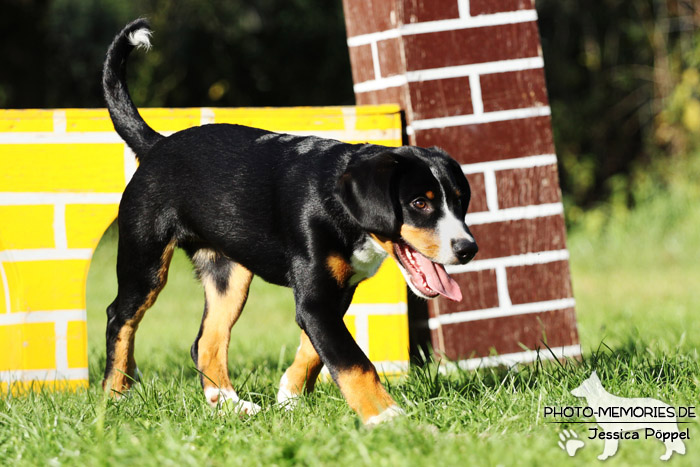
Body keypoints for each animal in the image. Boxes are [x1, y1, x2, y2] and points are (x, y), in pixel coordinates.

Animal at [101, 19, 478, 428]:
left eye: (460, 200)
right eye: (419, 203)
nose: (468, 249)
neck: (339, 207)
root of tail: (157, 145)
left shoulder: (335, 294)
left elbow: (315, 349)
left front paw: (290, 394)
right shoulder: (316, 298)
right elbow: (353, 361)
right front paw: (386, 416)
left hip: (228, 275)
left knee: (206, 342)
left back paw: (229, 403)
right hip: (145, 261)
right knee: (119, 318)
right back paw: (115, 396)